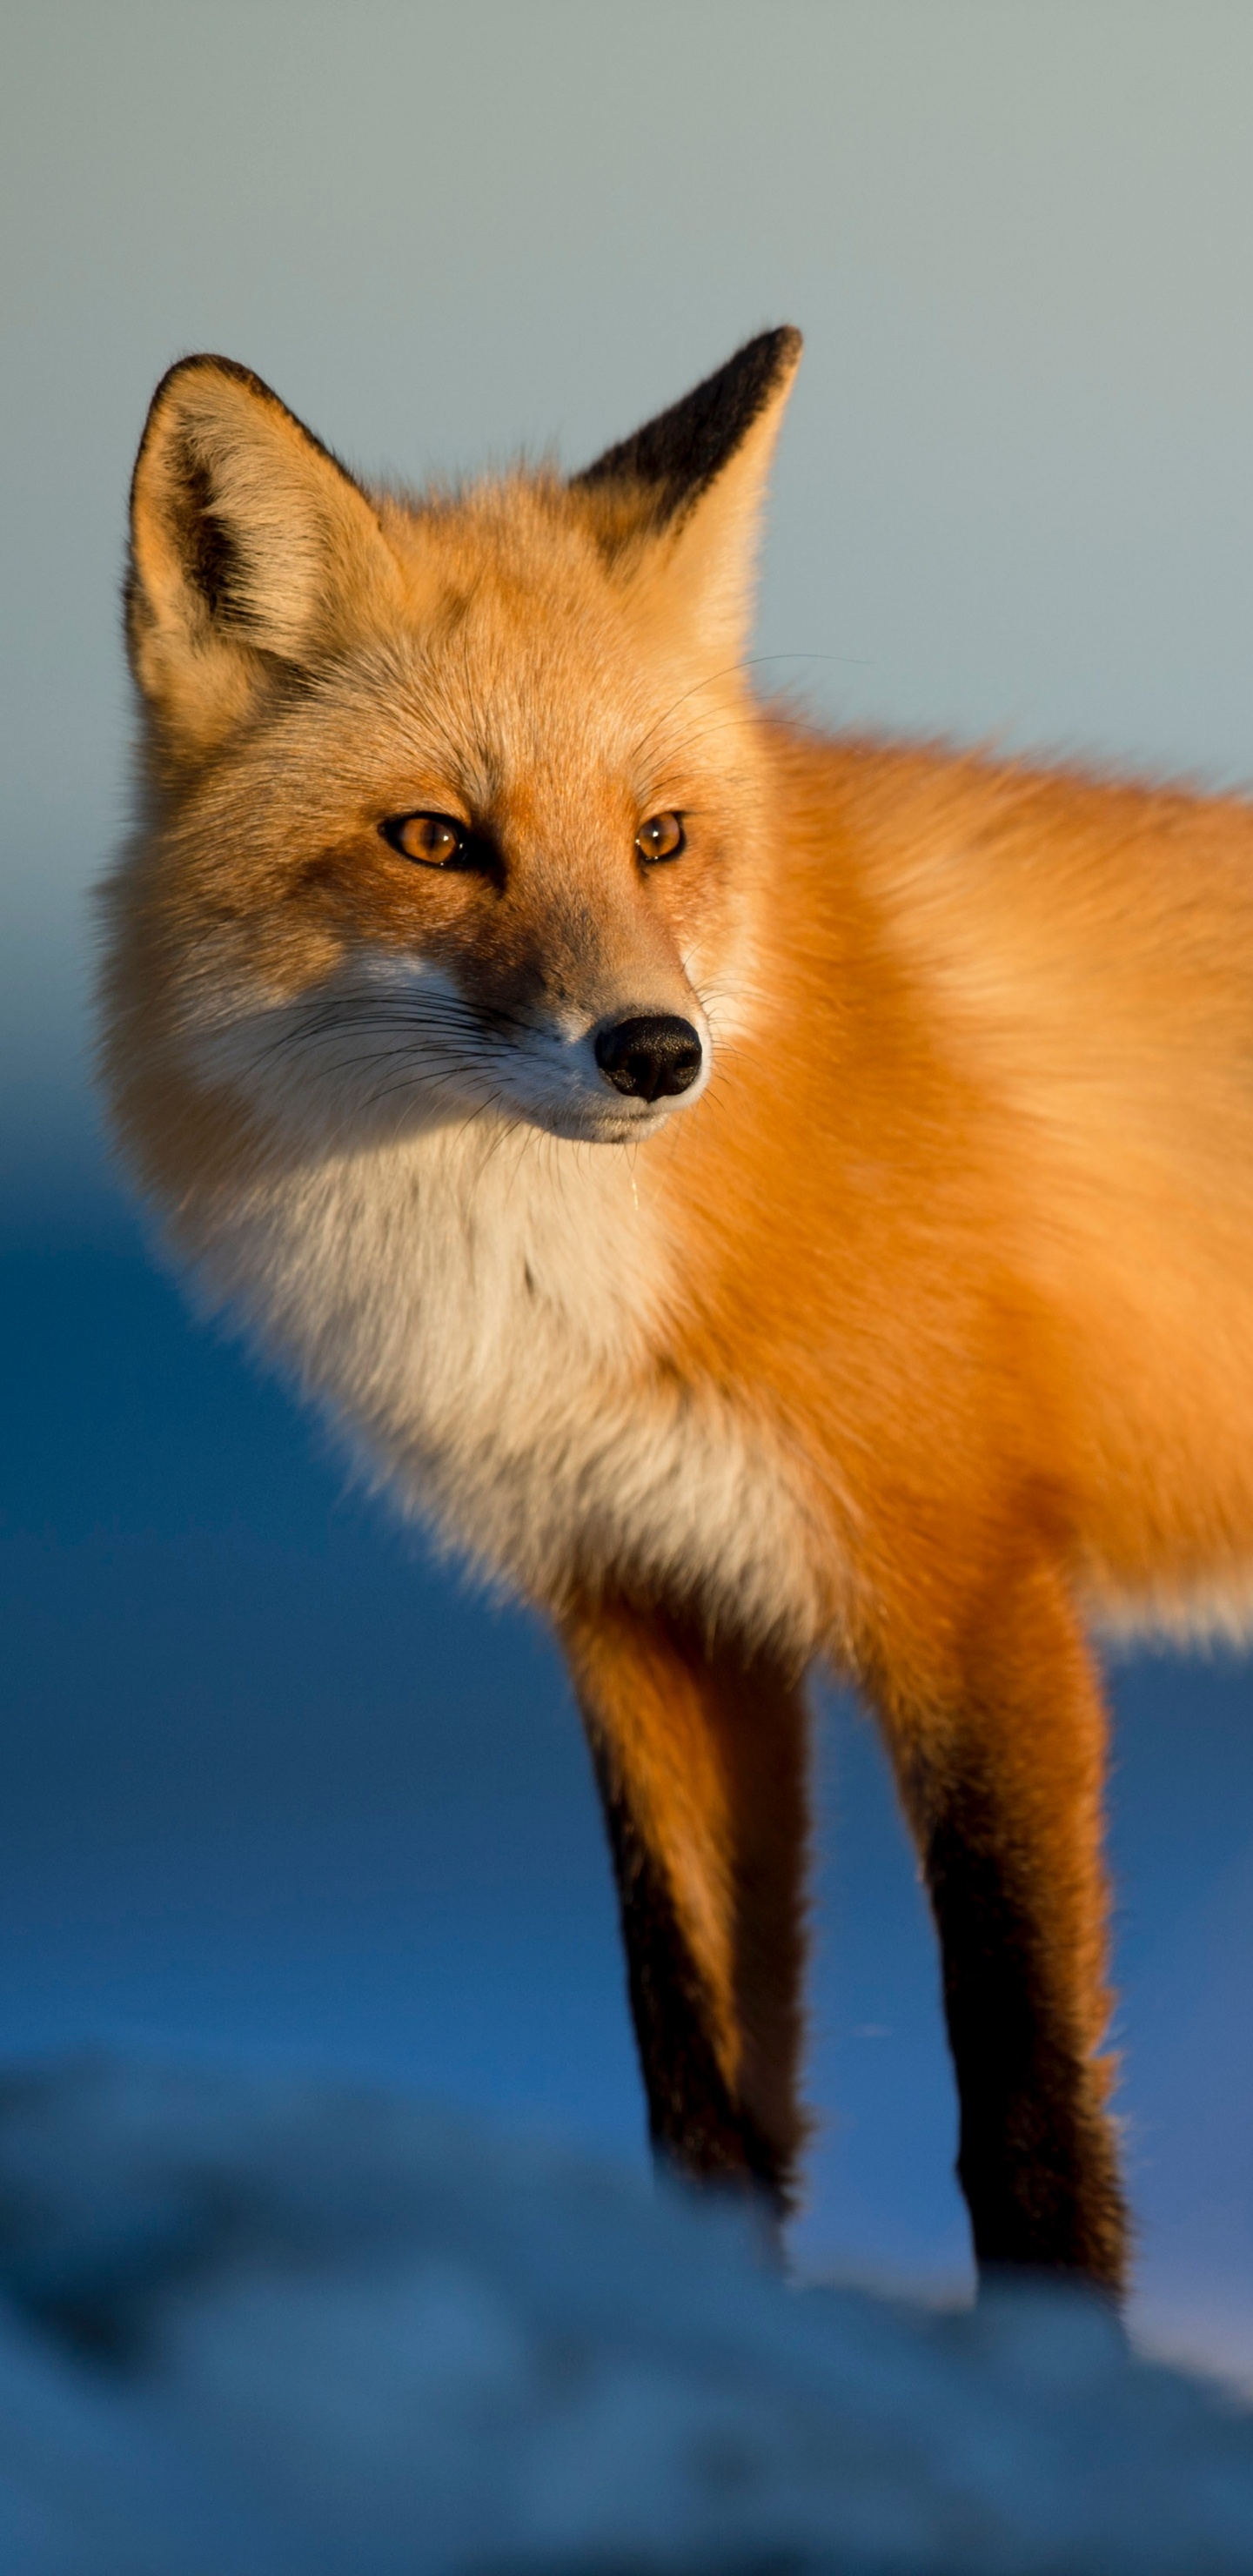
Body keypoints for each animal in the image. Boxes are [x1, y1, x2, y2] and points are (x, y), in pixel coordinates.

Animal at [98, 324, 1253, 2295]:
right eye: (436, 839)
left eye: (660, 838)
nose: (656, 1051)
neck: (543, 1297)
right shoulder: (647, 1601)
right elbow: (698, 2080)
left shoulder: (970, 1587)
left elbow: (1024, 2095)